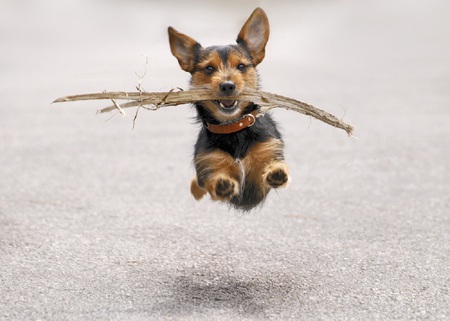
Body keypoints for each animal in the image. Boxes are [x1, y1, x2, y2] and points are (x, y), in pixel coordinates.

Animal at [168, 7, 288, 210]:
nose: (227, 86)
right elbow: (215, 178)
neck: (234, 128)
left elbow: (267, 167)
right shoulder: (210, 162)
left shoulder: (264, 158)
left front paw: (276, 171)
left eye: (241, 66)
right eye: (209, 69)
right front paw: (222, 183)